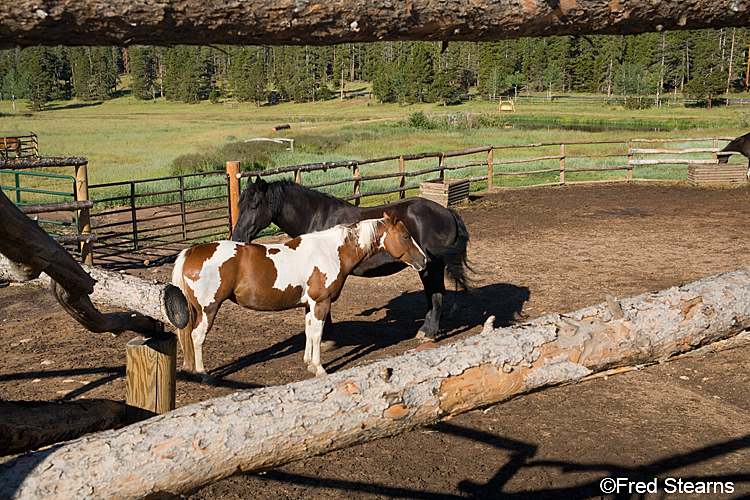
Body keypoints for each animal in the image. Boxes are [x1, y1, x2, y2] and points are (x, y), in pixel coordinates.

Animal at [173, 213, 426, 376]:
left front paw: (308, 363)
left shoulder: (309, 305)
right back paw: (202, 373)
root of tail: (192, 251)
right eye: (405, 236)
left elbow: (308, 332)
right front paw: (320, 368)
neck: (330, 251)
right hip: (208, 309)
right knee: (197, 336)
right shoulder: (321, 303)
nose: (424, 260)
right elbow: (318, 334)